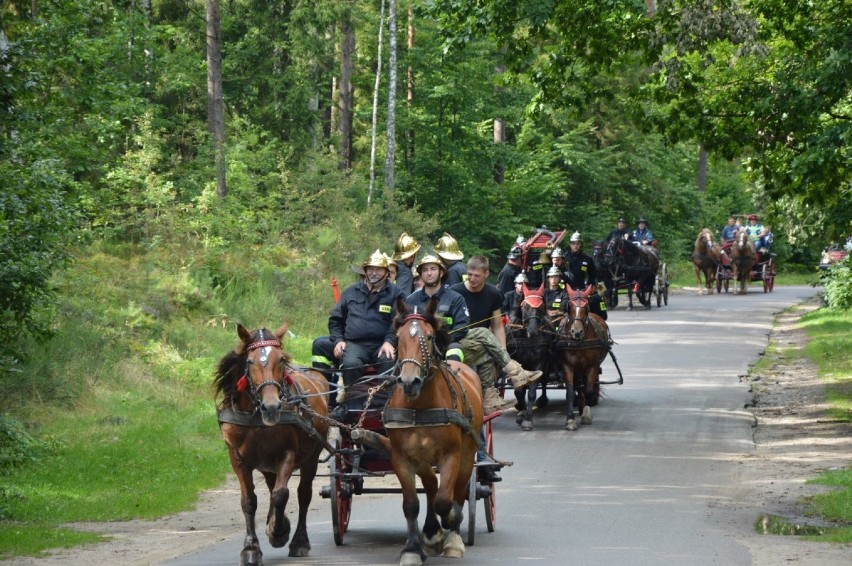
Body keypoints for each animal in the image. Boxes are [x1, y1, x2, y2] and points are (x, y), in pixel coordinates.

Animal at [213, 324, 330, 566]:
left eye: (281, 359)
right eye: (250, 362)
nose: (272, 407)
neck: (257, 420)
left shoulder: (288, 453)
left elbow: (281, 494)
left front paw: (278, 532)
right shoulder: (238, 459)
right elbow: (249, 500)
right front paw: (251, 548)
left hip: (311, 457)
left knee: (303, 494)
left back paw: (298, 540)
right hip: (267, 464)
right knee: (270, 485)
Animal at [382, 298, 482, 566]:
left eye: (428, 337)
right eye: (398, 338)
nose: (409, 381)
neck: (420, 407)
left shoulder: (451, 455)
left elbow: (446, 500)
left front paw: (451, 524)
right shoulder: (401, 458)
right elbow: (411, 504)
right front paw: (412, 549)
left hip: (467, 455)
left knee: (457, 491)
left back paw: (452, 537)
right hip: (423, 459)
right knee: (430, 485)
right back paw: (430, 531)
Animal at [506, 284, 552, 434]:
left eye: (541, 306)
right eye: (525, 306)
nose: (533, 331)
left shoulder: (538, 364)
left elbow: (531, 392)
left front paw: (528, 419)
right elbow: (519, 391)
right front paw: (522, 413)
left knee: (544, 381)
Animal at [552, 286, 612, 432]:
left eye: (586, 307)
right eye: (570, 306)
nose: (576, 332)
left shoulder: (593, 366)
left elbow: (588, 390)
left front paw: (586, 414)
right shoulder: (567, 365)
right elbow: (570, 392)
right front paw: (570, 420)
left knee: (584, 386)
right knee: (578, 386)